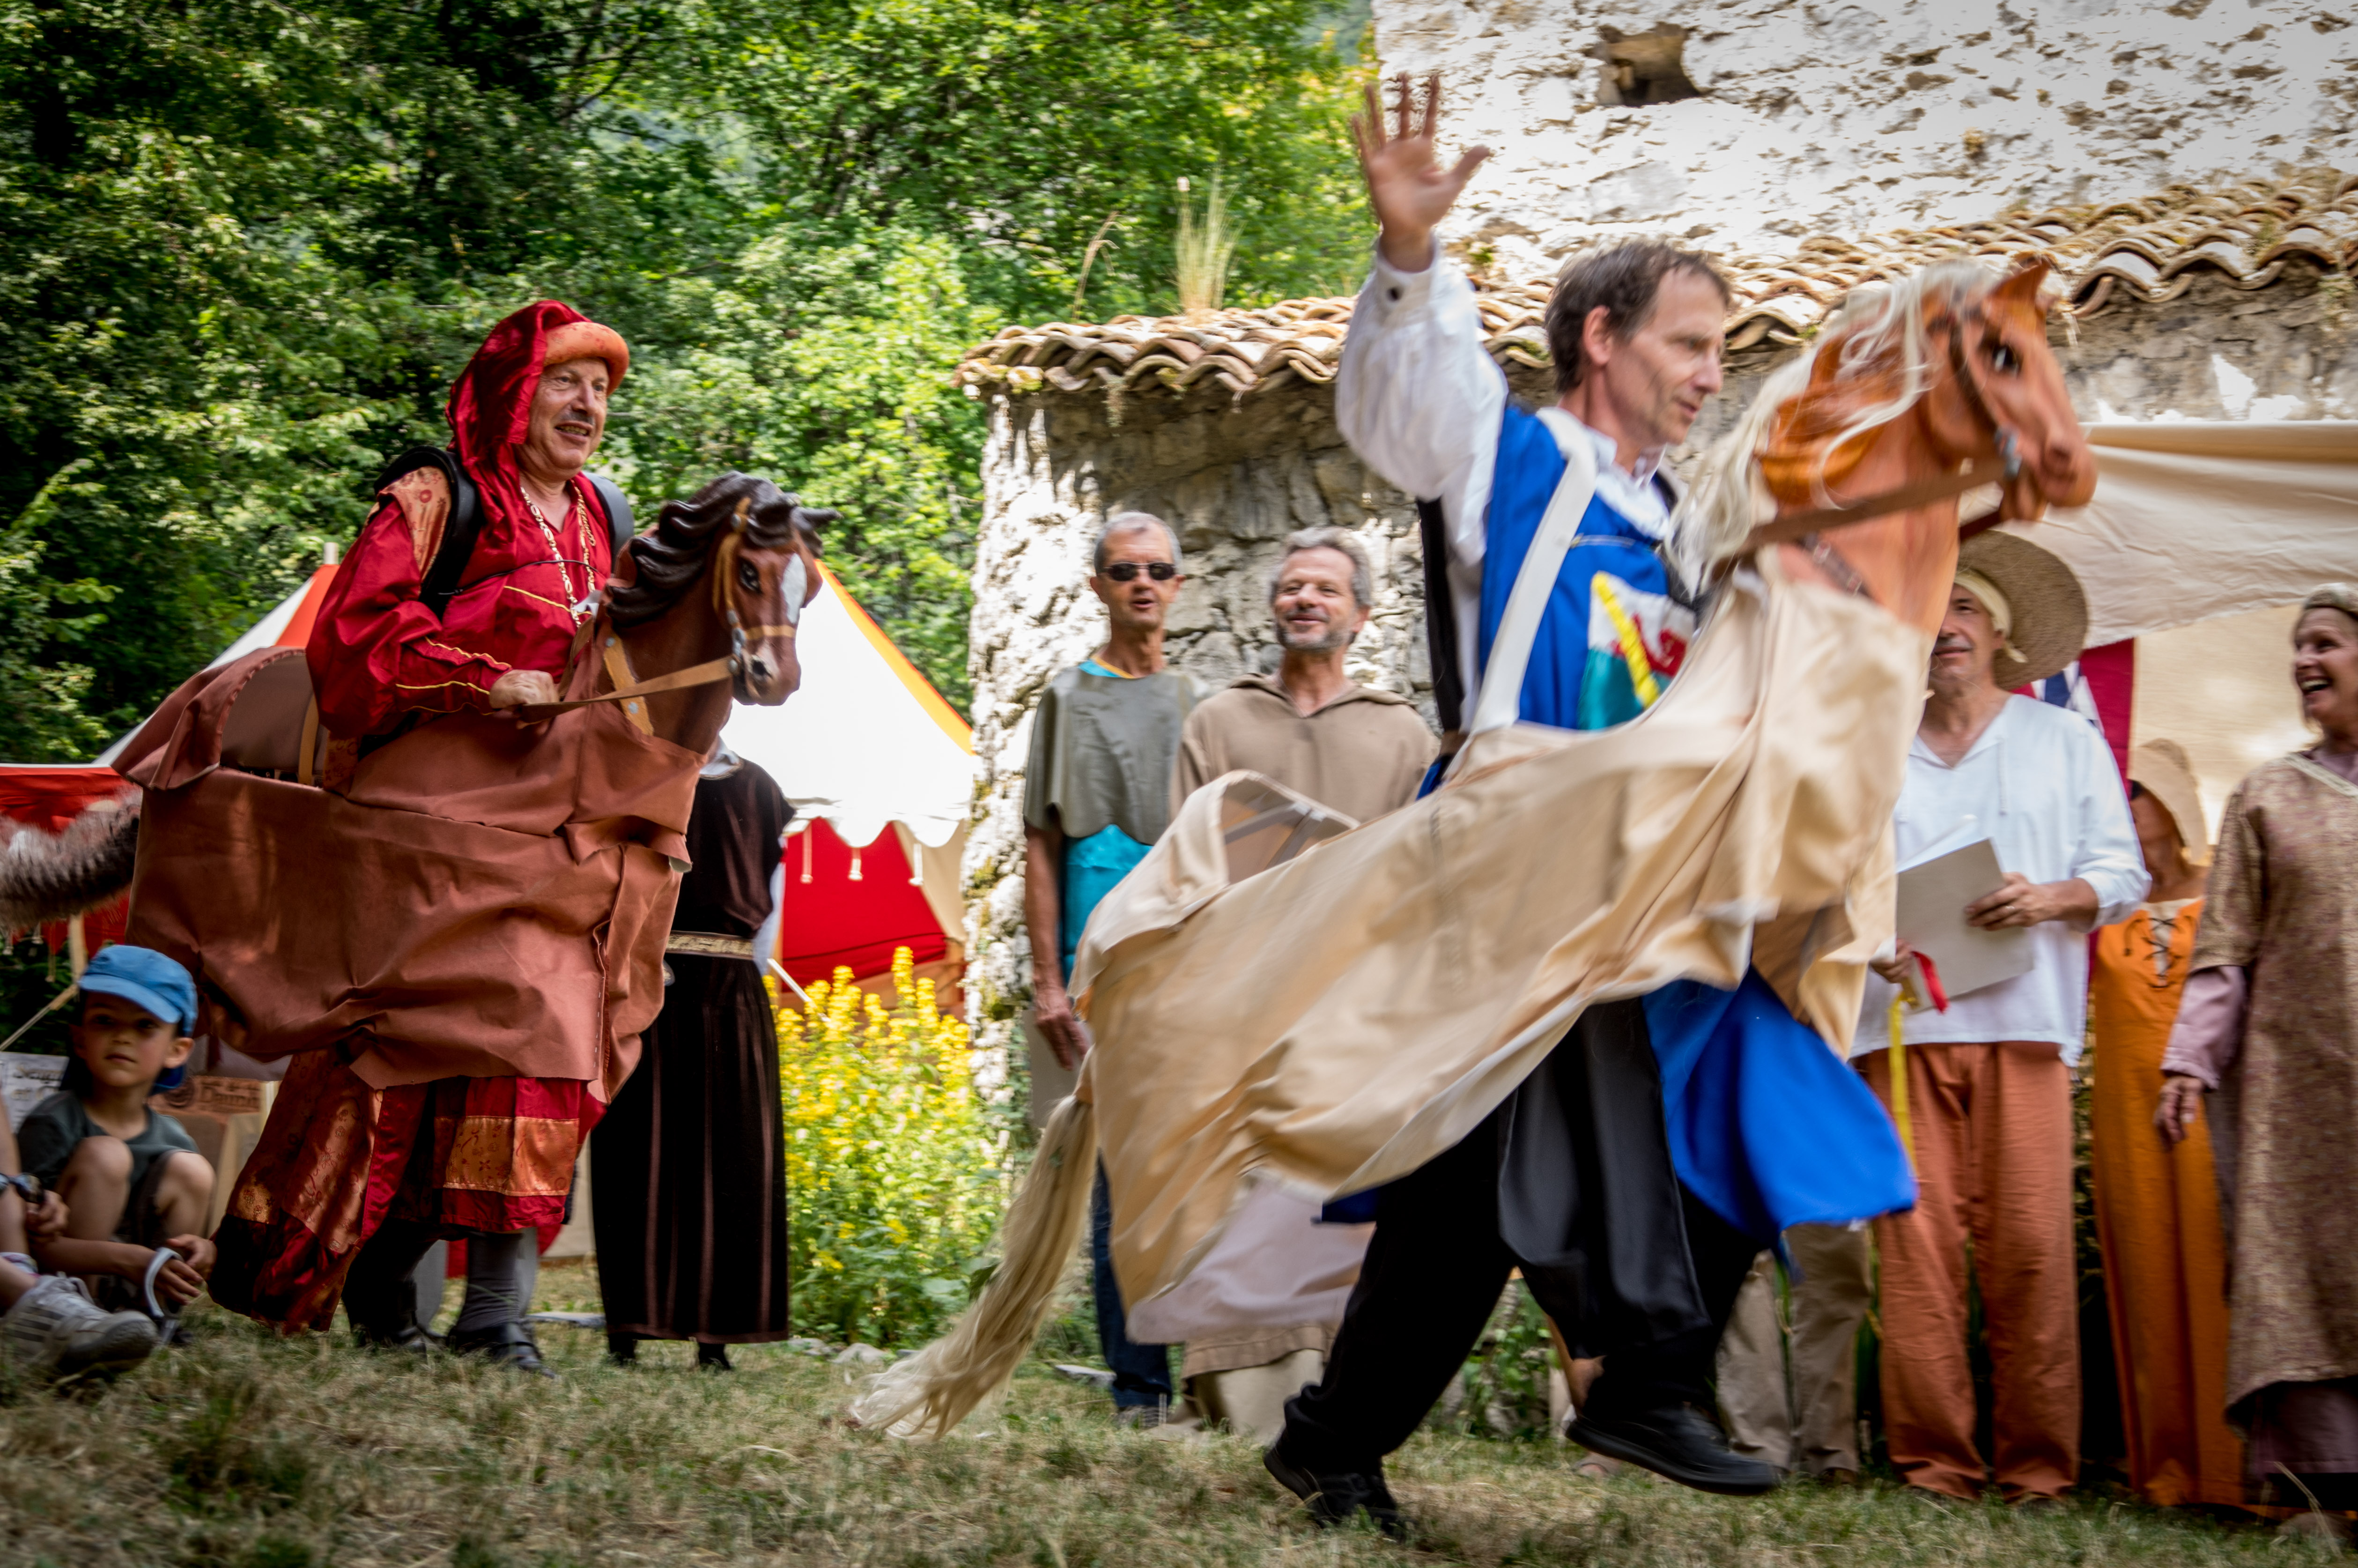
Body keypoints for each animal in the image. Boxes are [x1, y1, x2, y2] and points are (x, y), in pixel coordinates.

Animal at [848, 255, 2096, 1439]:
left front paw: (1659, 1402)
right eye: (1999, 352)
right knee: (1443, 1213)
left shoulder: (1737, 978)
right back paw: (1329, 1456)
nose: (2072, 468)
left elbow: (1767, 1135)